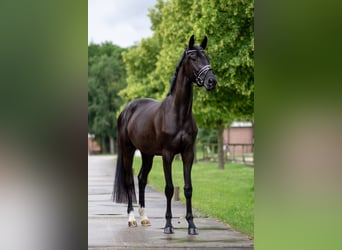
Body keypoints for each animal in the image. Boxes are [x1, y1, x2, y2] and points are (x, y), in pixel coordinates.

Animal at [113, 35, 218, 234]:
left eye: (207, 57)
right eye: (193, 58)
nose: (211, 81)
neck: (178, 113)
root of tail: (127, 110)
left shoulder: (188, 153)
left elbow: (188, 188)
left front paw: (192, 225)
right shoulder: (167, 155)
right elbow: (169, 189)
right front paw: (168, 226)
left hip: (147, 154)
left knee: (142, 179)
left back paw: (144, 218)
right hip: (128, 150)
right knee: (129, 181)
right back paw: (132, 219)